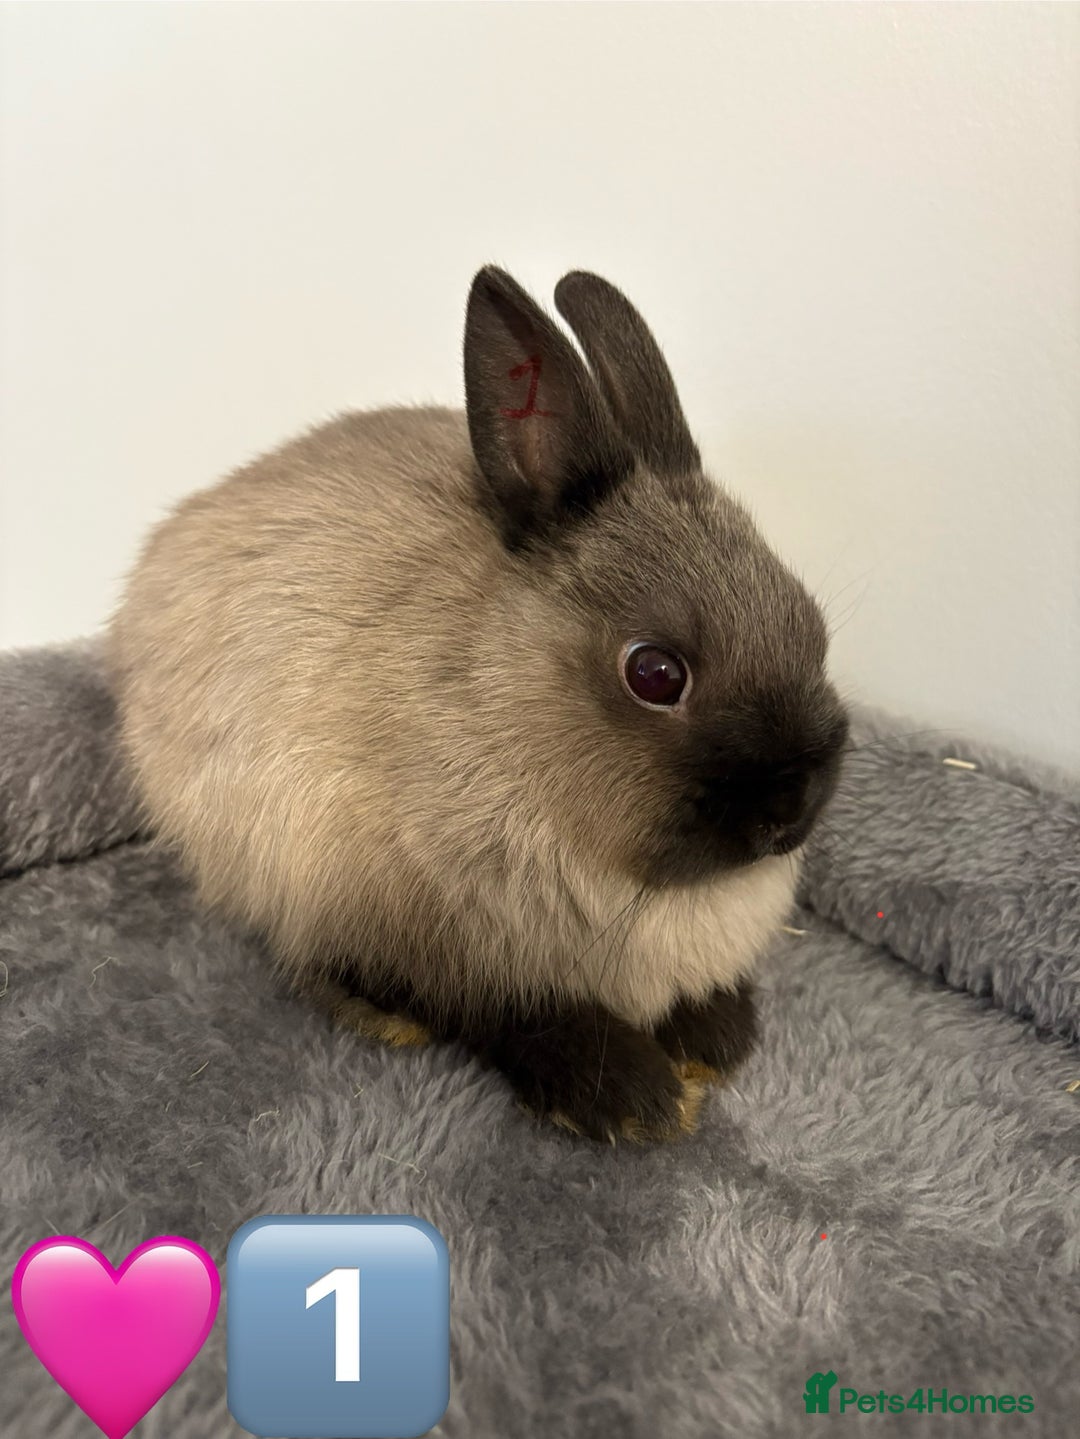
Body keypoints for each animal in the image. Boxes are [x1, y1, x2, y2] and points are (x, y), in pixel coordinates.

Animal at [105, 265, 849, 1144]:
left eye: (810, 620)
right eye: (655, 673)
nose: (791, 813)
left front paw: (714, 1037)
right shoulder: (417, 933)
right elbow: (505, 1012)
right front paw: (631, 1096)